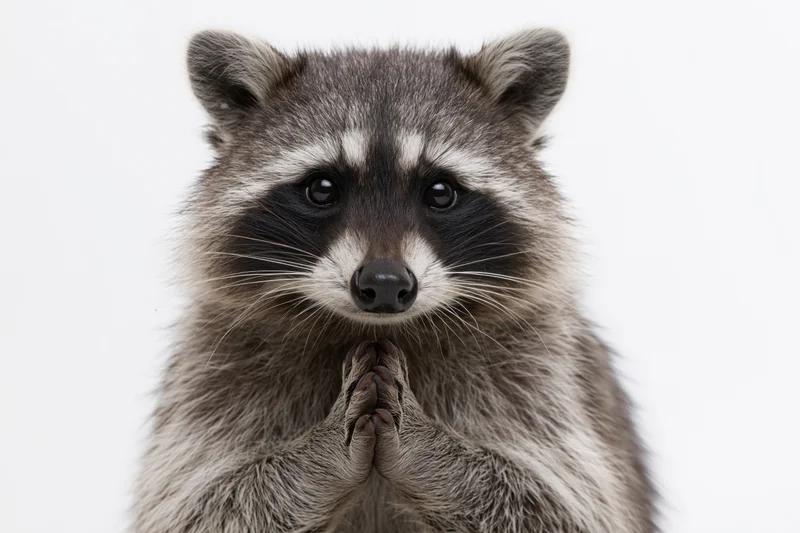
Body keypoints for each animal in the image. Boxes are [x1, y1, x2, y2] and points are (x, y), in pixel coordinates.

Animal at [133, 28, 656, 533]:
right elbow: (196, 507)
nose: (384, 283)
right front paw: (319, 453)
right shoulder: (213, 370)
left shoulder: (544, 374)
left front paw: (431, 449)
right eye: (322, 188)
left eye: (441, 192)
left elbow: (563, 508)